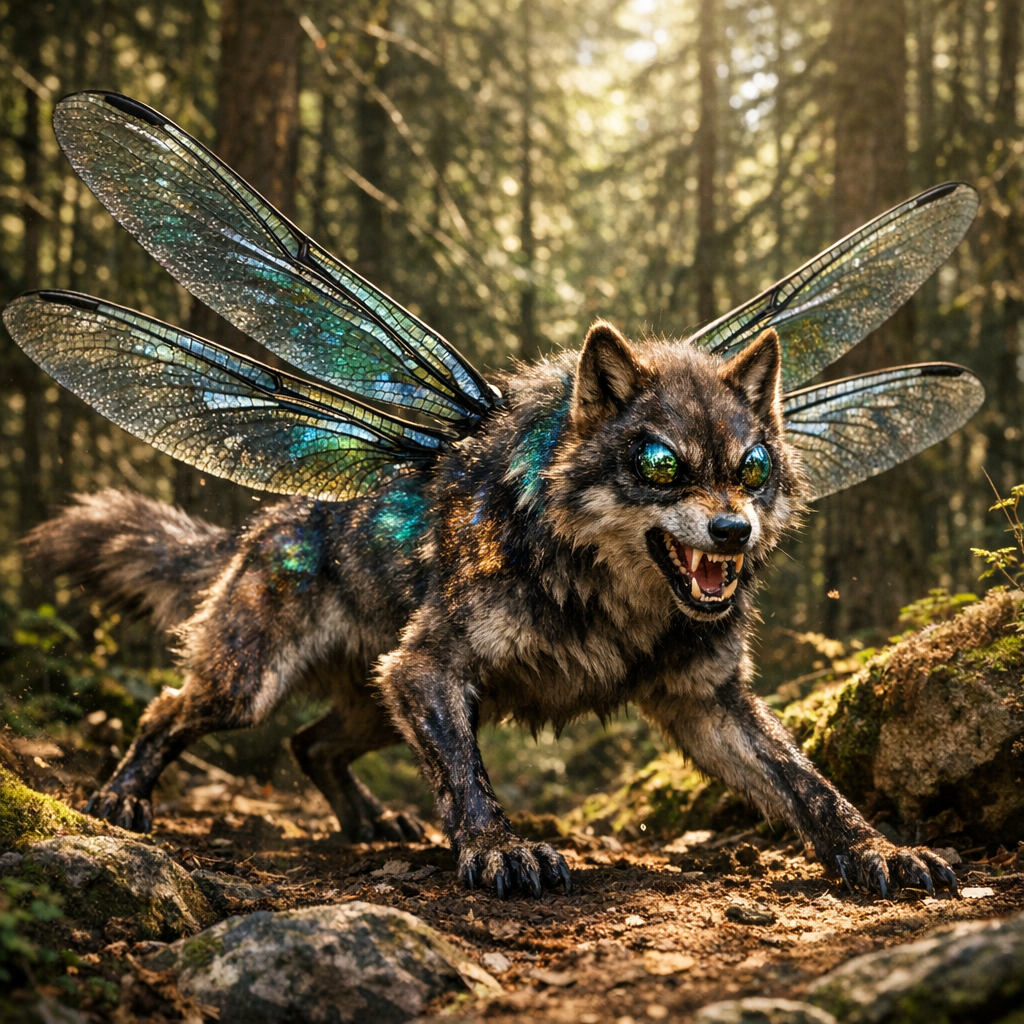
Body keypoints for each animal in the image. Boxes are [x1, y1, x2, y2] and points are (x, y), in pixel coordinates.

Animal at [28, 323, 958, 898]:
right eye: (661, 465)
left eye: (754, 467)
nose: (734, 532)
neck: (614, 598)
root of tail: (267, 520)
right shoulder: (428, 669)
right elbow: (469, 779)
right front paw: (500, 849)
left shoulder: (710, 704)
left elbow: (811, 788)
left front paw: (880, 850)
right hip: (257, 689)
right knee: (168, 708)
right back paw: (121, 800)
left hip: (373, 703)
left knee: (309, 742)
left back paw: (371, 823)